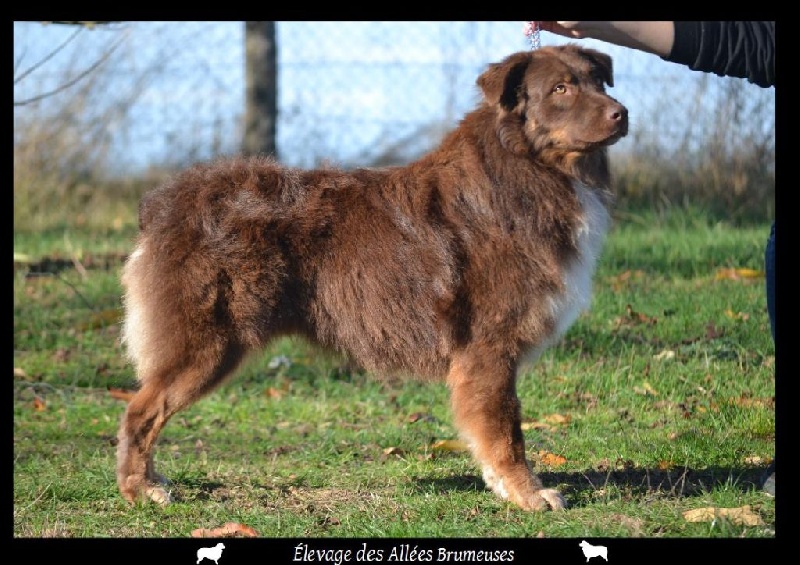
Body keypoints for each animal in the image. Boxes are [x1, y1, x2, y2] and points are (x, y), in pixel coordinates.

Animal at [119, 45, 628, 512]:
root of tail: (165, 204)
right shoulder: (489, 346)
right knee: (139, 411)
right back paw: (140, 489)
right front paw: (528, 494)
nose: (622, 114)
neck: (527, 166)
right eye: (560, 89)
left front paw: (509, 490)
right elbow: (506, 432)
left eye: (598, 82)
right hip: (207, 344)